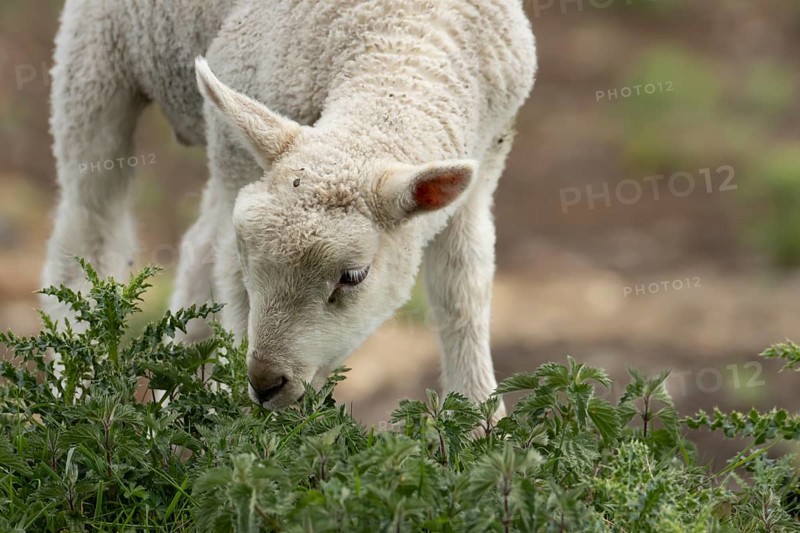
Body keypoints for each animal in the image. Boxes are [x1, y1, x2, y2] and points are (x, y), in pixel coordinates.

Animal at [42, 0, 537, 415]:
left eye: (352, 276)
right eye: (248, 255)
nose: (265, 382)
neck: (401, 45)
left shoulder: (481, 175)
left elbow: (462, 295)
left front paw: (481, 426)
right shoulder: (236, 162)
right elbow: (234, 298)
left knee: (196, 249)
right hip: (96, 63)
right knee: (89, 233)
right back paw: (74, 399)